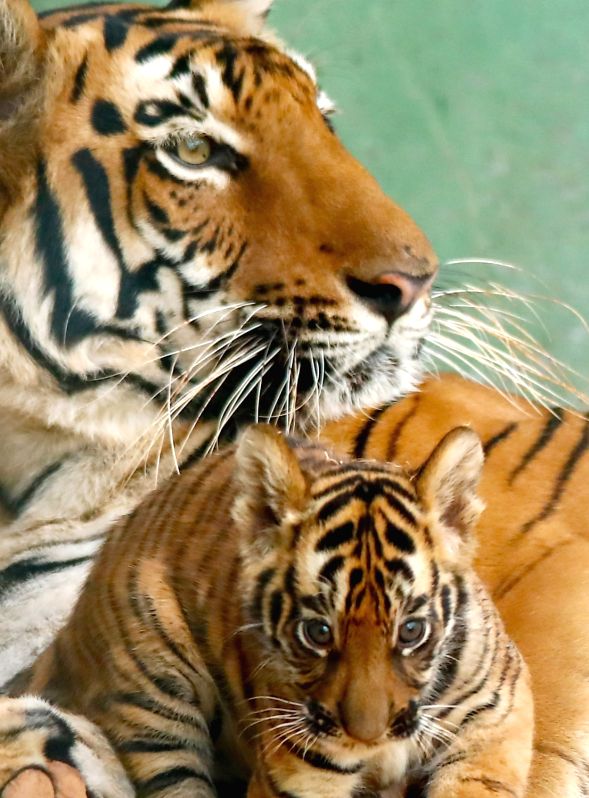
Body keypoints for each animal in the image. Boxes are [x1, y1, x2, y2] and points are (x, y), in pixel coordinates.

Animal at [11, 423, 533, 798]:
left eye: (411, 631)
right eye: (317, 632)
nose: (367, 737)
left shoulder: (494, 723)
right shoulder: (302, 774)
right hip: (154, 699)